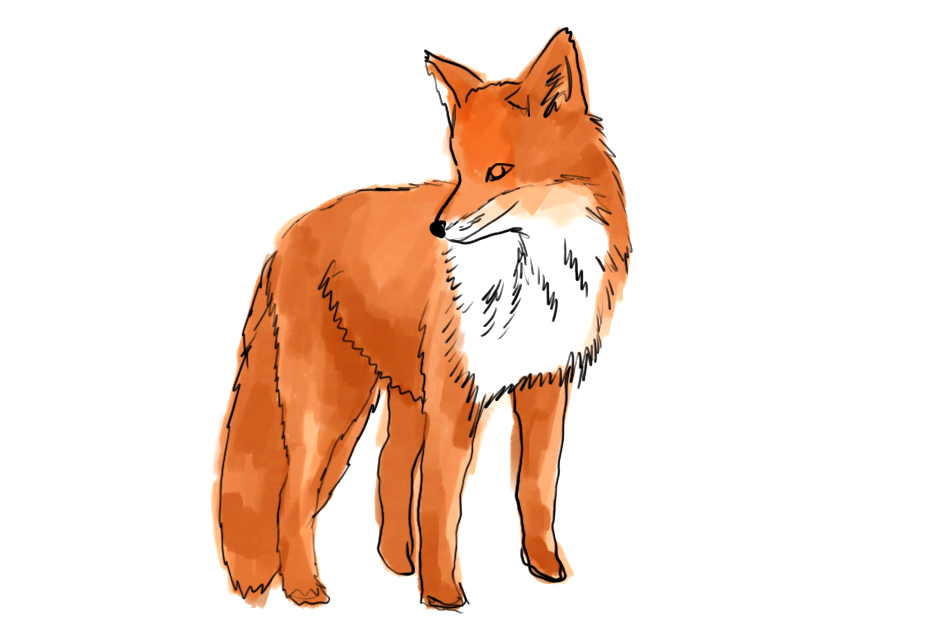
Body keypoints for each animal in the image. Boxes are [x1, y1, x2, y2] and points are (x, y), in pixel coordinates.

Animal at [214, 27, 631, 610]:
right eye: (458, 170)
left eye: (498, 172)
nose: (439, 228)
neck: (531, 276)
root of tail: (285, 238)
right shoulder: (457, 396)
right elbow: (441, 507)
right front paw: (443, 594)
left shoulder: (545, 386)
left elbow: (536, 487)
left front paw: (546, 568)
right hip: (333, 402)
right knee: (294, 495)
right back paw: (305, 588)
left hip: (404, 395)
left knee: (387, 468)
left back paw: (396, 564)